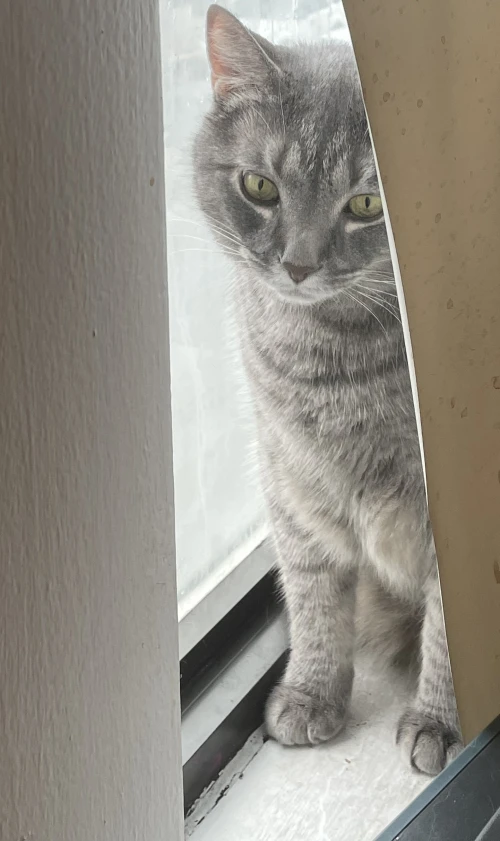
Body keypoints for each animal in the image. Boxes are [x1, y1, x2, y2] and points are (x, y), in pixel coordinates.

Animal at [193, 4, 462, 776]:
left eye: (368, 204)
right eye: (260, 188)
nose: (297, 264)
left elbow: (448, 627)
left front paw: (439, 719)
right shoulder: (295, 487)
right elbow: (313, 598)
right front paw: (313, 692)